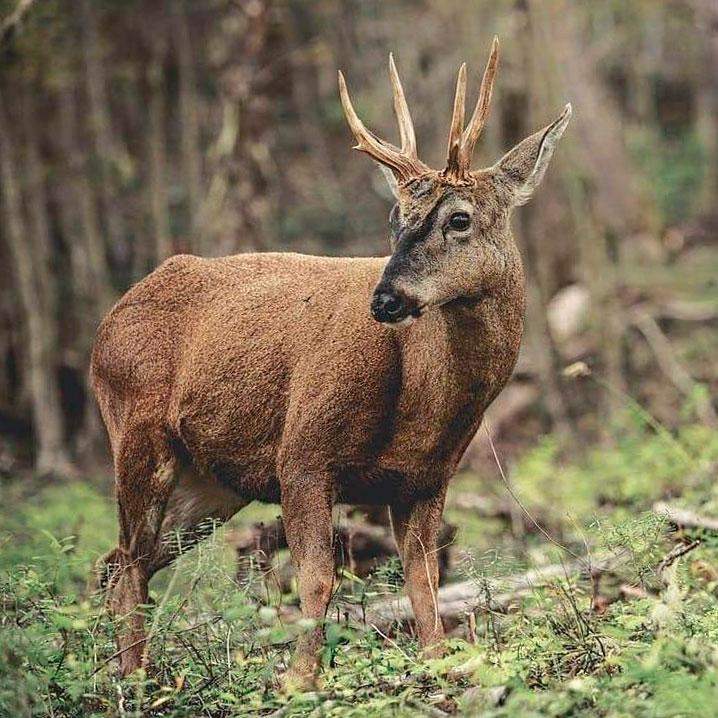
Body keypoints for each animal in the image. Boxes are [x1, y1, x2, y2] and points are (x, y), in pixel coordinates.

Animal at [91, 36, 572, 688]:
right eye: (395, 219)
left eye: (459, 218)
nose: (385, 298)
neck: (421, 406)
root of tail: (109, 321)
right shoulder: (302, 453)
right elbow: (317, 581)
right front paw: (299, 681)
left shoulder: (427, 478)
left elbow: (425, 582)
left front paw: (439, 664)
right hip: (138, 437)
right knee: (127, 567)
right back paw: (136, 683)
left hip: (210, 482)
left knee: (116, 564)